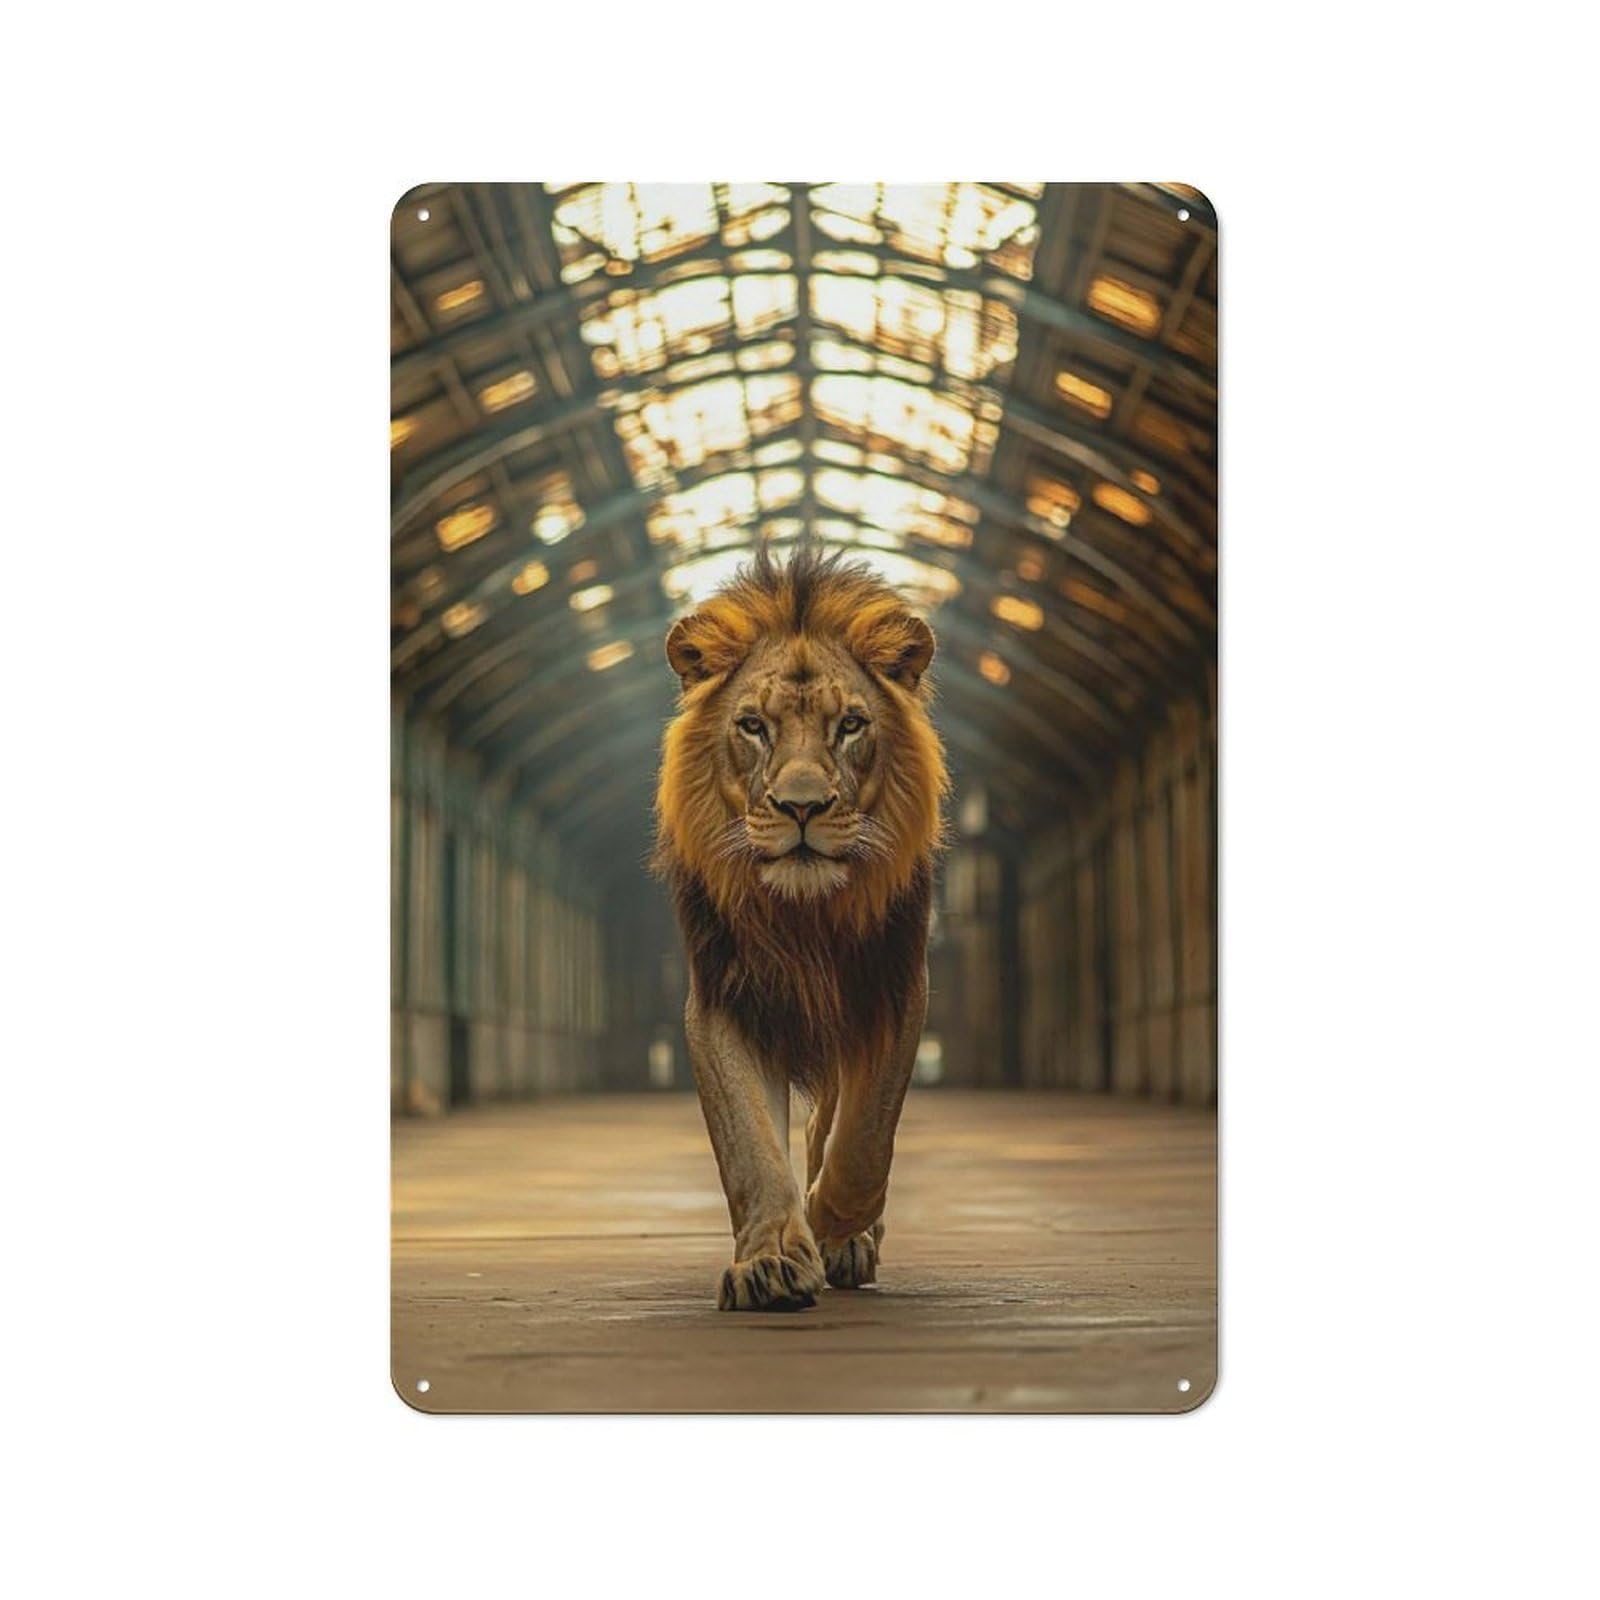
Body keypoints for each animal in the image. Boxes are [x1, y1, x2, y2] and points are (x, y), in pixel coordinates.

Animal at [654, 542, 947, 1310]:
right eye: (754, 726)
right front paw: (772, 1261)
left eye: (850, 725)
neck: (803, 916)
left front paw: (829, 1222)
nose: (802, 807)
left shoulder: (893, 988)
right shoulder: (724, 997)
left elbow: (865, 1139)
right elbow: (750, 1145)